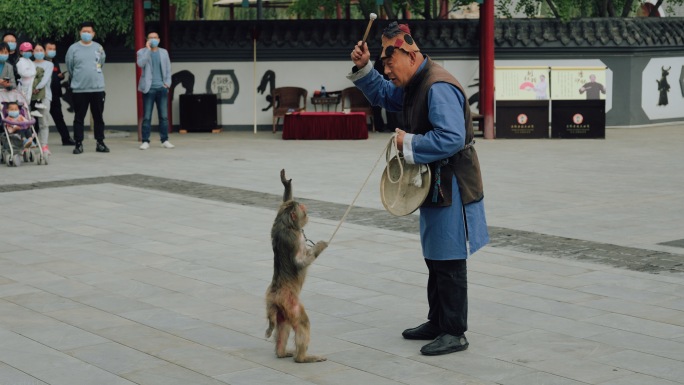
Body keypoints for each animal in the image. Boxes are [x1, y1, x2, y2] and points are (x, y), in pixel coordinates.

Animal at [264, 169, 328, 364]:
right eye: (303, 209)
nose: (306, 209)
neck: (289, 225)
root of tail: (274, 295)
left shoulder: (277, 222)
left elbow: (284, 201)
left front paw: (287, 184)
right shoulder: (293, 239)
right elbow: (300, 262)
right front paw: (320, 246)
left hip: (280, 308)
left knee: (282, 326)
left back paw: (281, 352)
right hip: (290, 303)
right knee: (302, 323)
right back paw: (302, 358)